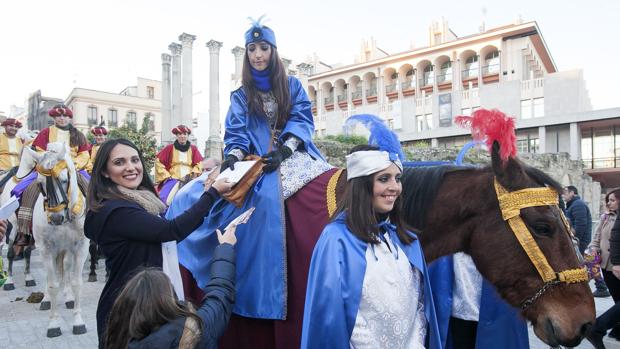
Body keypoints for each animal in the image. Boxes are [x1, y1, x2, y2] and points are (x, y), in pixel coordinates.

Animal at [20, 143, 89, 336]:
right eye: (40, 183)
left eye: (64, 180)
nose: (56, 218)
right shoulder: (46, 248)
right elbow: (52, 285)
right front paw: (53, 323)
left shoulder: (81, 247)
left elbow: (76, 283)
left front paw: (78, 321)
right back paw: (45, 299)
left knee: (64, 267)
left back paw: (68, 297)